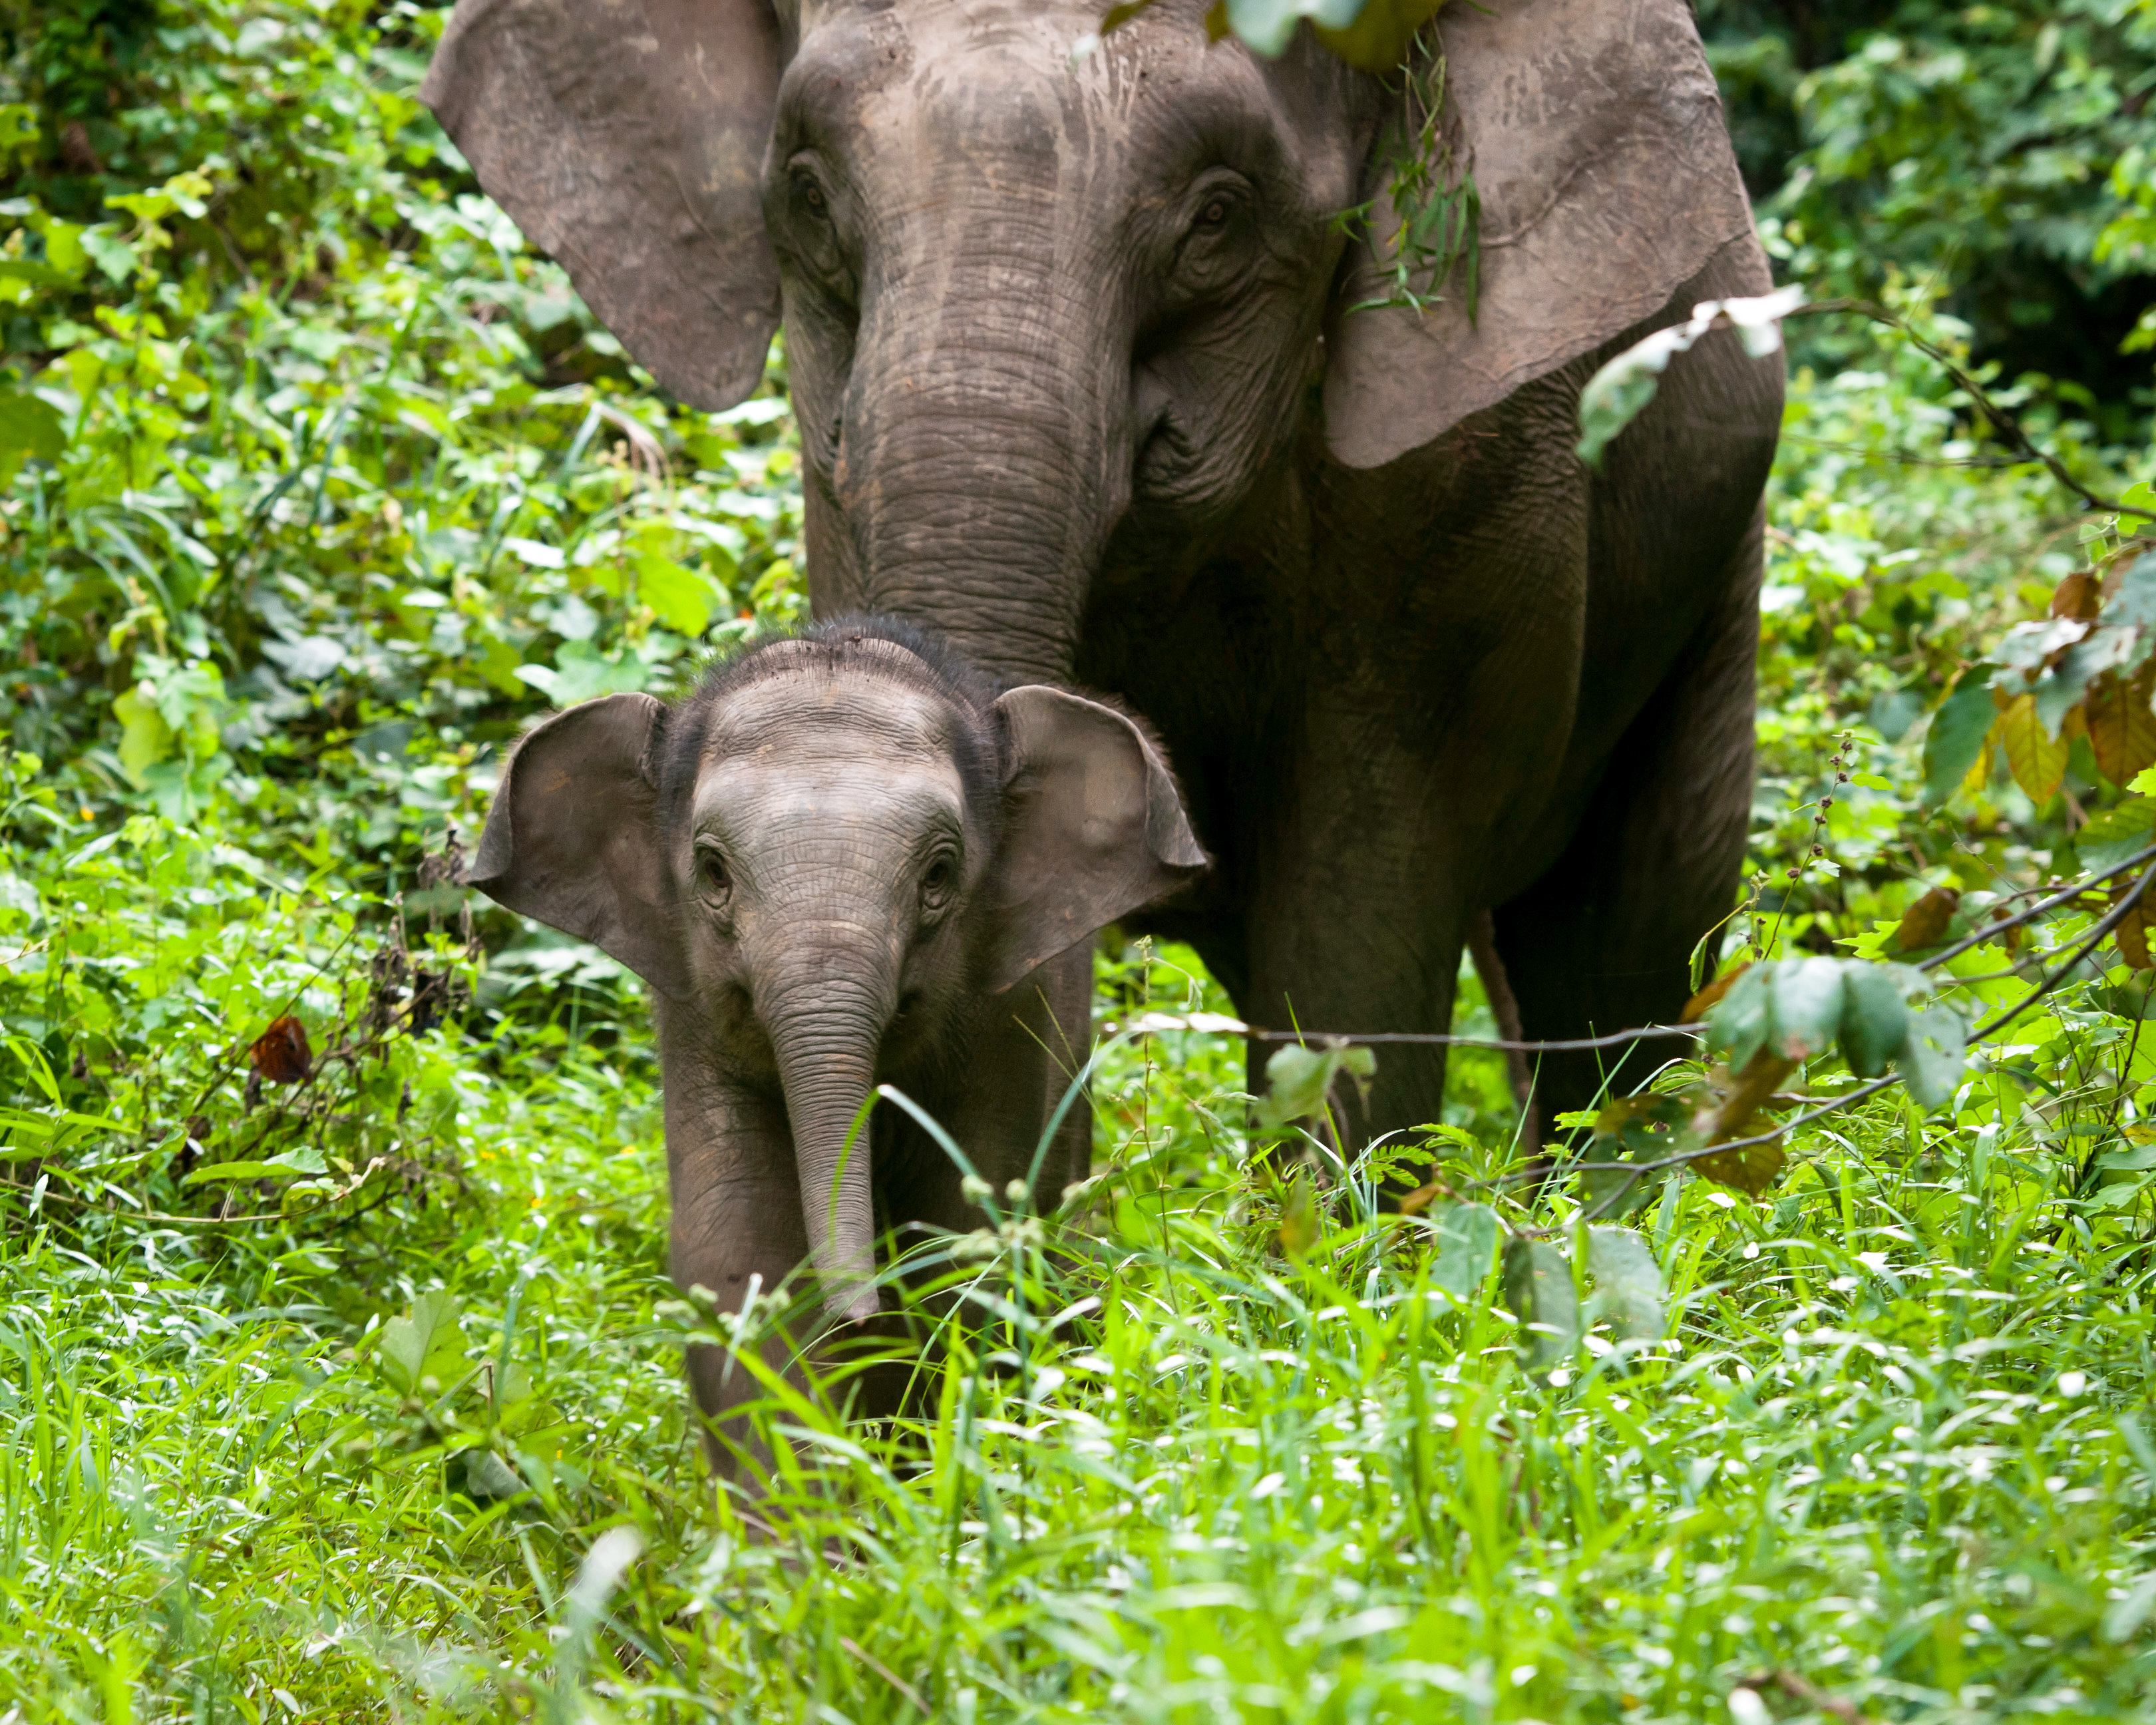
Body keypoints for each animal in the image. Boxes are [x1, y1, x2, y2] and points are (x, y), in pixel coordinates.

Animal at [468, 621, 1198, 1432]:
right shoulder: (696, 1024)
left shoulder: (1008, 1018)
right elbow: (737, 1252)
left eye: (938, 877)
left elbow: (968, 1244)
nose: (860, 1314)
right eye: (713, 873)